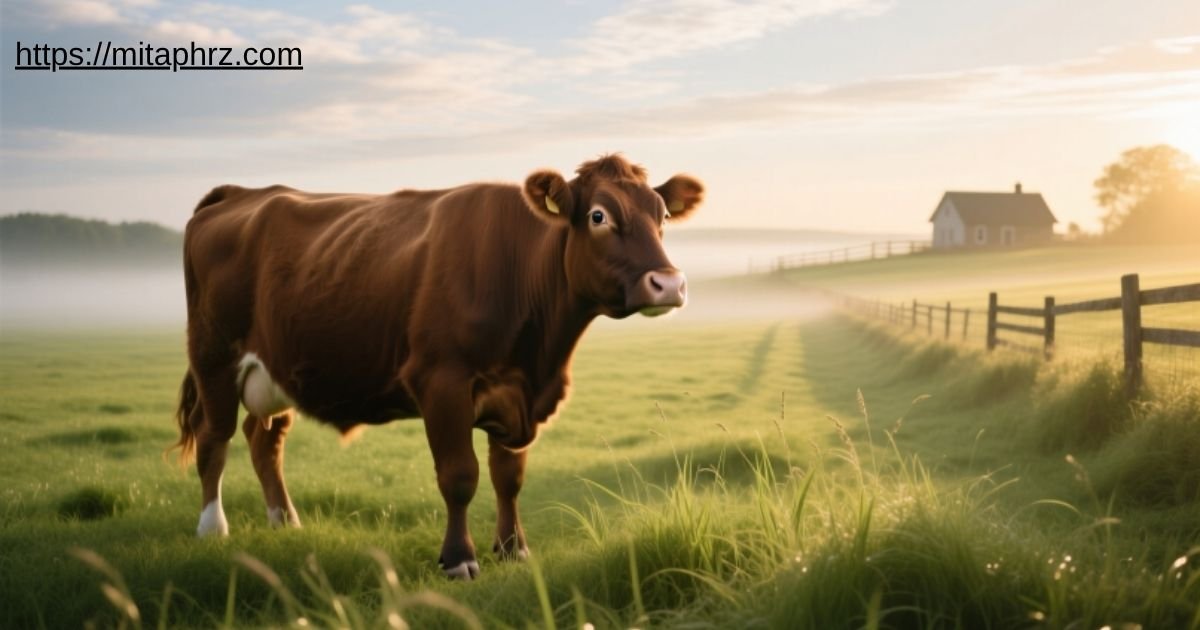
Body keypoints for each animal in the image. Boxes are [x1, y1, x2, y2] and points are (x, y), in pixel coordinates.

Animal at [171, 154, 703, 579]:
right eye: (598, 215)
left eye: (661, 216)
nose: (668, 284)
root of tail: (242, 193)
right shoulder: (442, 382)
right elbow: (459, 476)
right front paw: (459, 559)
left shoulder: (518, 395)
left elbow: (509, 476)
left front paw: (513, 550)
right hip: (213, 356)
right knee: (214, 437)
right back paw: (212, 528)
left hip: (276, 369)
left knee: (264, 439)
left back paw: (286, 521)